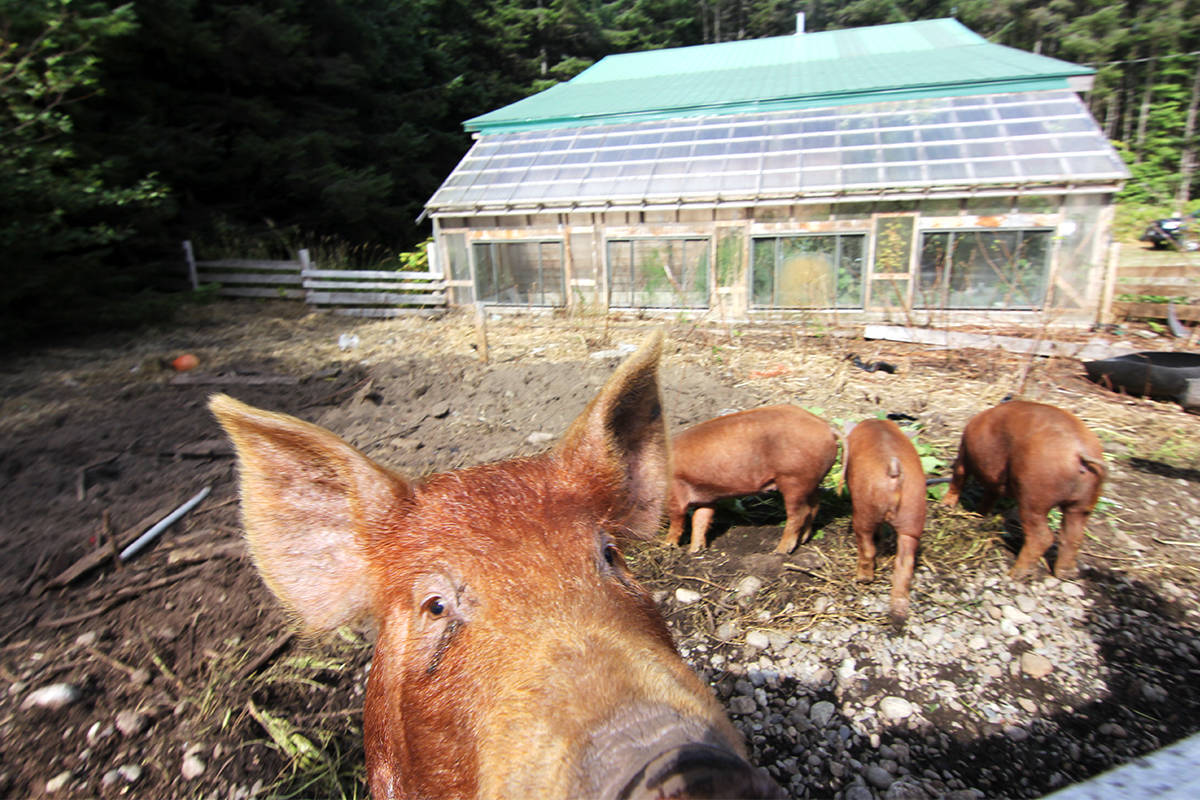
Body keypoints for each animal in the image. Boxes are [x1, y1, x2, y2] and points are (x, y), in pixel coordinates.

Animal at [667, 407, 835, 556]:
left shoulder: (675, 491)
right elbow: (700, 519)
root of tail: (827, 427)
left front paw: (668, 545)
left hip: (793, 479)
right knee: (814, 507)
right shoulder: (706, 497)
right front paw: (694, 551)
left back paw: (779, 551)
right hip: (810, 482)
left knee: (800, 513)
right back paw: (803, 540)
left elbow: (678, 518)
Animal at [844, 419, 926, 623]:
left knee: (867, 547)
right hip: (913, 514)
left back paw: (863, 578)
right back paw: (898, 615)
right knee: (905, 563)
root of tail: (894, 473)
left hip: (865, 511)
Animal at [940, 400, 1099, 582]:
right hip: (1082, 503)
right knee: (1073, 535)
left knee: (1042, 536)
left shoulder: (964, 453)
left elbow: (958, 478)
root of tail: (1080, 452)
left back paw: (1015, 574)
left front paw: (946, 506)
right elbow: (989, 497)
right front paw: (978, 515)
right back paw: (1066, 574)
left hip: (1034, 496)